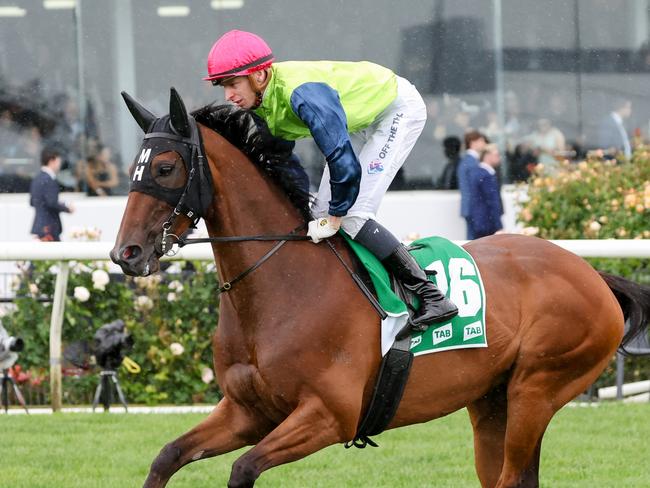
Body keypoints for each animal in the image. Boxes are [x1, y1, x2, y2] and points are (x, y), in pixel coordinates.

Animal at [109, 87, 644, 488]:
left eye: (165, 168)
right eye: (134, 168)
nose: (125, 254)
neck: (281, 287)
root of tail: (591, 273)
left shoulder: (328, 416)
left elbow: (242, 469)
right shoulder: (246, 411)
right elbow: (166, 456)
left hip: (538, 388)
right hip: (492, 401)